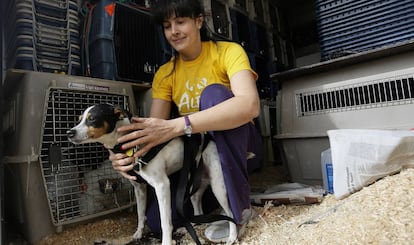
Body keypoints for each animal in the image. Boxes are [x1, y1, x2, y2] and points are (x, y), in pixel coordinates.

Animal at [66, 104, 238, 245]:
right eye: (79, 120)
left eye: (92, 119)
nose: (69, 133)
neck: (127, 144)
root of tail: (209, 138)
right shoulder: (139, 188)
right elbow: (140, 214)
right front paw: (138, 233)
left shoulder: (162, 186)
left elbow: (165, 222)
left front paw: (166, 242)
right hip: (193, 187)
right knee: (198, 210)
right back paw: (189, 227)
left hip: (218, 186)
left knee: (230, 213)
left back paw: (232, 237)